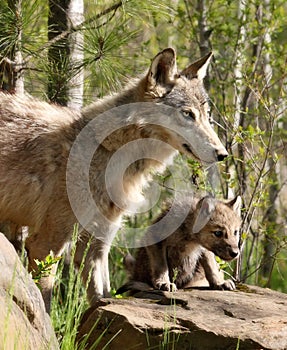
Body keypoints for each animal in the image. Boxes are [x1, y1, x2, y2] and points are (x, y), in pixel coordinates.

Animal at [0, 47, 230, 312]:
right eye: (187, 114)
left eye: (206, 116)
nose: (222, 154)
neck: (106, 152)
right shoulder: (46, 244)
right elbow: (44, 302)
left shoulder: (98, 244)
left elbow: (102, 296)